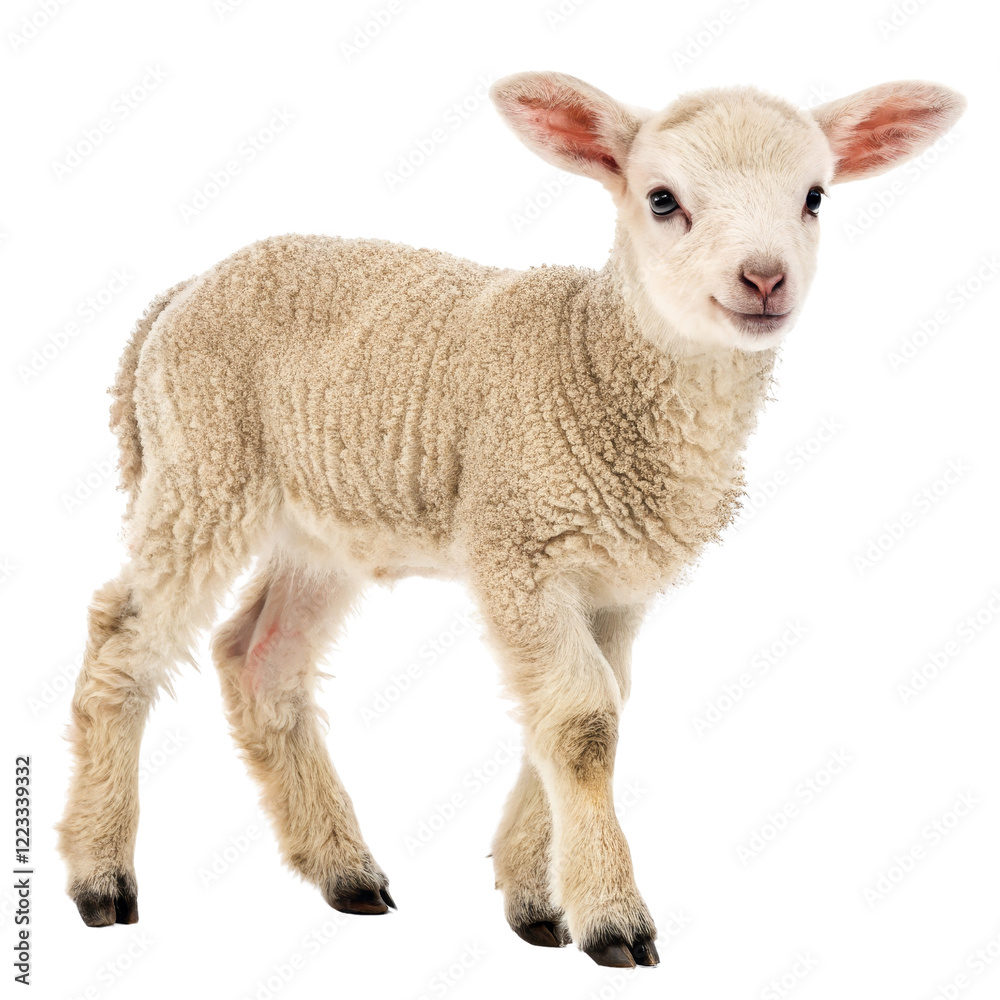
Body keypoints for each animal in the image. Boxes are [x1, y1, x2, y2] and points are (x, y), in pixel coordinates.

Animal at [57, 71, 965, 967]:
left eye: (814, 196)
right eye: (662, 199)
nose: (766, 278)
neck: (594, 358)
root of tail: (179, 296)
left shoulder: (612, 582)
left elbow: (583, 711)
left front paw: (536, 899)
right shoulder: (518, 544)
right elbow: (582, 721)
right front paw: (613, 920)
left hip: (321, 525)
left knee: (260, 661)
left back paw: (344, 872)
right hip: (202, 468)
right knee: (122, 635)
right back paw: (101, 876)